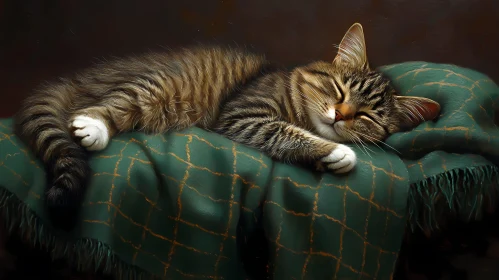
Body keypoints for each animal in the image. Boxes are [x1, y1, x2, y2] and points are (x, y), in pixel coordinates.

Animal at [12, 23, 442, 226]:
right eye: (339, 90)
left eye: (366, 116)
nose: (340, 115)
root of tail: (79, 78)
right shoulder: (244, 114)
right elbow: (287, 132)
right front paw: (336, 149)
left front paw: (333, 156)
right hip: (153, 86)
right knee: (104, 106)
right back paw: (92, 126)